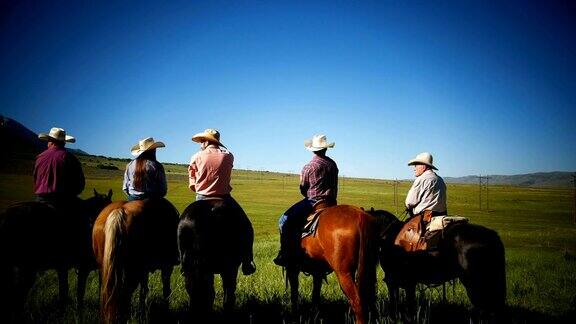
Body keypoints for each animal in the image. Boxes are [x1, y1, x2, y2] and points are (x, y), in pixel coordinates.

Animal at [368, 209, 504, 322]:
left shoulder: (394, 280)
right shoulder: (408, 282)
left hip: (474, 283)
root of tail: (493, 236)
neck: (388, 236)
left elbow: (398, 301)